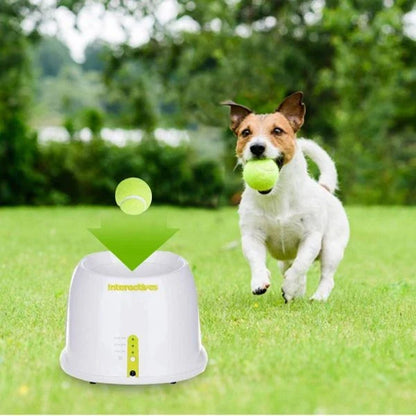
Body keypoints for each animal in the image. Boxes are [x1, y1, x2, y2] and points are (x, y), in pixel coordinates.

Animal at [224, 91, 348, 300]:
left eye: (277, 130)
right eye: (245, 133)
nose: (257, 147)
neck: (277, 195)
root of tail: (324, 188)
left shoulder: (311, 237)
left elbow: (300, 265)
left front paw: (289, 286)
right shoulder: (252, 236)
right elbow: (256, 260)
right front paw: (259, 281)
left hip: (332, 247)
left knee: (325, 276)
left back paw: (317, 297)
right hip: (285, 259)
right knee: (292, 268)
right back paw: (297, 293)